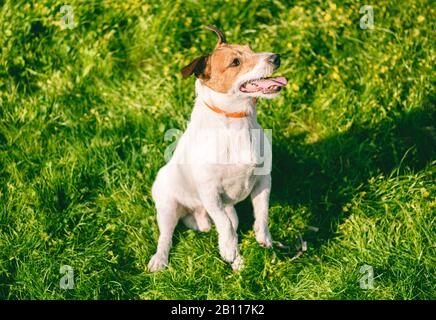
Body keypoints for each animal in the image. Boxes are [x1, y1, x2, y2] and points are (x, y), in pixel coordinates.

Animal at [148, 25, 288, 272]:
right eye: (235, 62)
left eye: (250, 48)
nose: (276, 57)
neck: (236, 121)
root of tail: (197, 214)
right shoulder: (210, 192)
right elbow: (225, 227)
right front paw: (229, 249)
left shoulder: (263, 181)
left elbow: (261, 213)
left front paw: (264, 238)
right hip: (167, 205)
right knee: (167, 235)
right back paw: (160, 259)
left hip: (225, 209)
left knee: (226, 223)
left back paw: (237, 261)